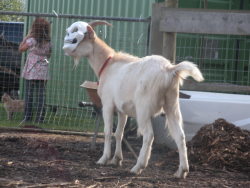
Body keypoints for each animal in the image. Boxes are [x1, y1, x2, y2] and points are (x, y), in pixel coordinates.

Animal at [62, 20, 203, 178]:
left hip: (143, 108)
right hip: (172, 104)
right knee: (180, 136)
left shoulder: (108, 105)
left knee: (149, 135)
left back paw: (138, 167)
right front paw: (116, 159)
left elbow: (107, 132)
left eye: (76, 39)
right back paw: (182, 171)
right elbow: (119, 133)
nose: (65, 49)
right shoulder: (122, 110)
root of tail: (169, 69)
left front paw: (104, 159)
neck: (108, 63)